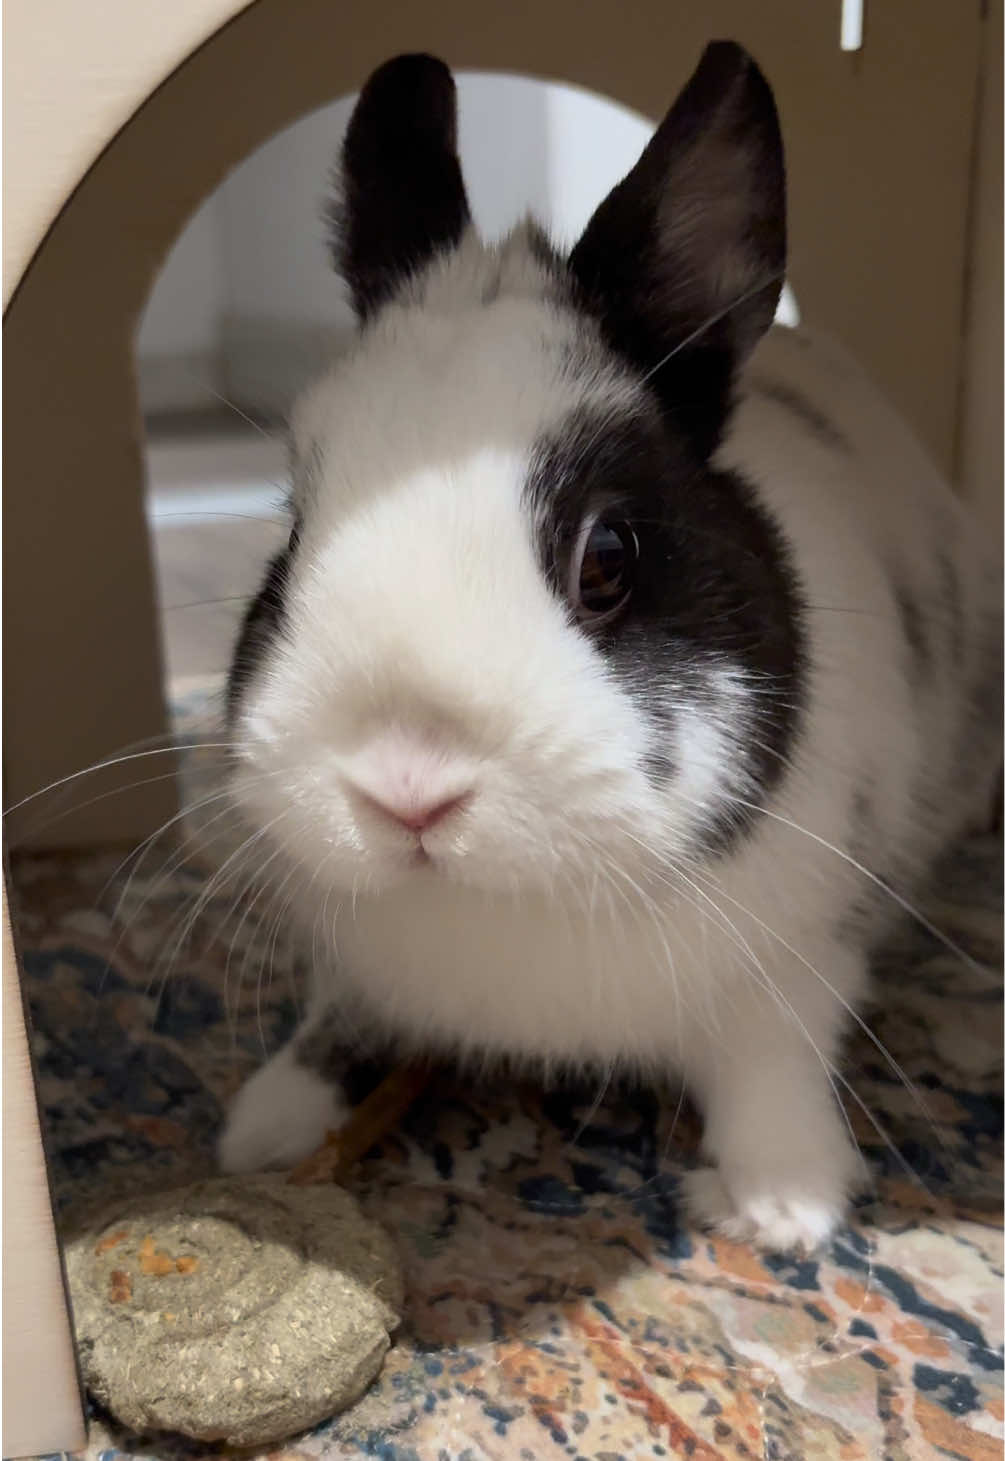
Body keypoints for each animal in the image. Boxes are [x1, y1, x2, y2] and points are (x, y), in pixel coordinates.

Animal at [216, 44, 1002, 1250]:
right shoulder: (349, 971)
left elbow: (774, 1071)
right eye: (292, 538)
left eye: (609, 558)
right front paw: (261, 1130)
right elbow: (335, 1026)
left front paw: (787, 1205)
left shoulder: (794, 966)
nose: (406, 785)